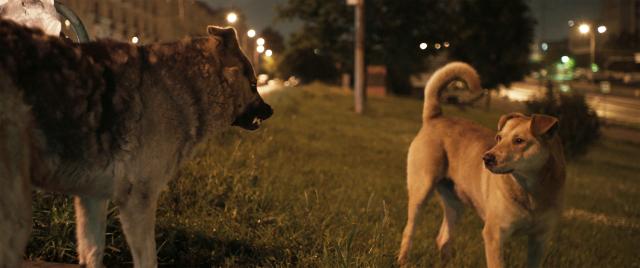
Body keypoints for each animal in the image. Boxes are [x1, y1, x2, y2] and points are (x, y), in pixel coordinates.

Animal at [400, 61, 564, 266]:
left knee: (443, 238)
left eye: (519, 141)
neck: (530, 191)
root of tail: (436, 117)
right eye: (499, 138)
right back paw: (402, 260)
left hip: (455, 203)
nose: (486, 158)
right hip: (421, 190)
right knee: (409, 230)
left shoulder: (540, 240)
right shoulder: (494, 234)